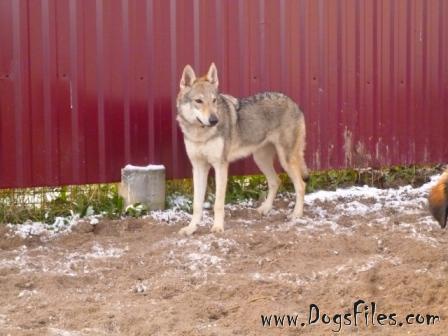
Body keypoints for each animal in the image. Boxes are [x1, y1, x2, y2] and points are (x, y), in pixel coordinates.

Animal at [175, 63, 308, 236]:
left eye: (214, 100)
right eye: (199, 101)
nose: (214, 120)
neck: (200, 134)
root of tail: (294, 103)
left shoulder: (220, 166)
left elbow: (218, 203)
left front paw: (217, 227)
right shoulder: (198, 167)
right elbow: (197, 204)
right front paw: (191, 228)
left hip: (285, 160)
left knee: (301, 185)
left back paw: (296, 214)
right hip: (260, 159)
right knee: (276, 181)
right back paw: (265, 208)